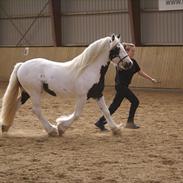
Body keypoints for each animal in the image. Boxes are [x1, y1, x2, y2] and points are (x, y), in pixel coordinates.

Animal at [0, 34, 132, 137]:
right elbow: (77, 114)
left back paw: (5, 126)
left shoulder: (97, 94)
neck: (89, 69)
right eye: (117, 48)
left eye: (123, 47)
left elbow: (106, 111)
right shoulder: (82, 96)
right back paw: (51, 130)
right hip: (34, 92)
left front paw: (116, 129)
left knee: (14, 106)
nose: (129, 63)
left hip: (26, 93)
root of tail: (22, 65)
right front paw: (61, 127)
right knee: (36, 110)